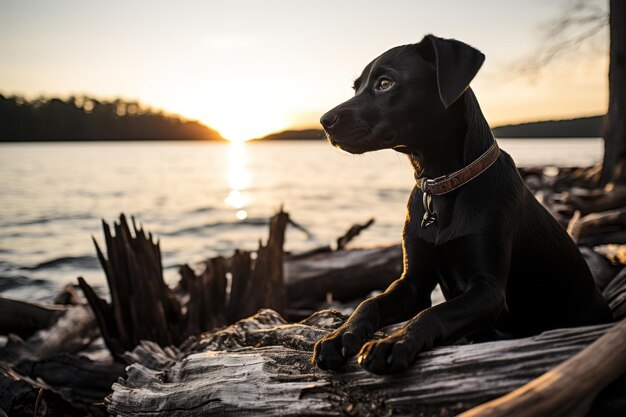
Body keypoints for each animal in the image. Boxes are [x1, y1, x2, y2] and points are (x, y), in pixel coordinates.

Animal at [312, 35, 608, 374]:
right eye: (356, 87)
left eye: (385, 83)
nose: (324, 121)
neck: (442, 186)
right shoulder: (412, 283)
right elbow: (368, 302)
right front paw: (340, 336)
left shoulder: (488, 291)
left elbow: (434, 313)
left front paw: (395, 342)